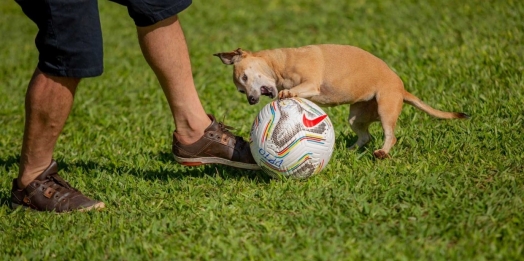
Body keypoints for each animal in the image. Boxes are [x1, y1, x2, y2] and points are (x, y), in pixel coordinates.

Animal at [213, 44, 466, 157]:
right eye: (240, 90)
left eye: (246, 77)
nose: (251, 100)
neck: (280, 63)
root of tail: (402, 88)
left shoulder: (311, 83)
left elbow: (296, 90)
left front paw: (287, 94)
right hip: (357, 116)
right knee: (365, 135)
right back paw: (351, 150)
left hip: (386, 107)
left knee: (389, 135)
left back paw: (382, 152)